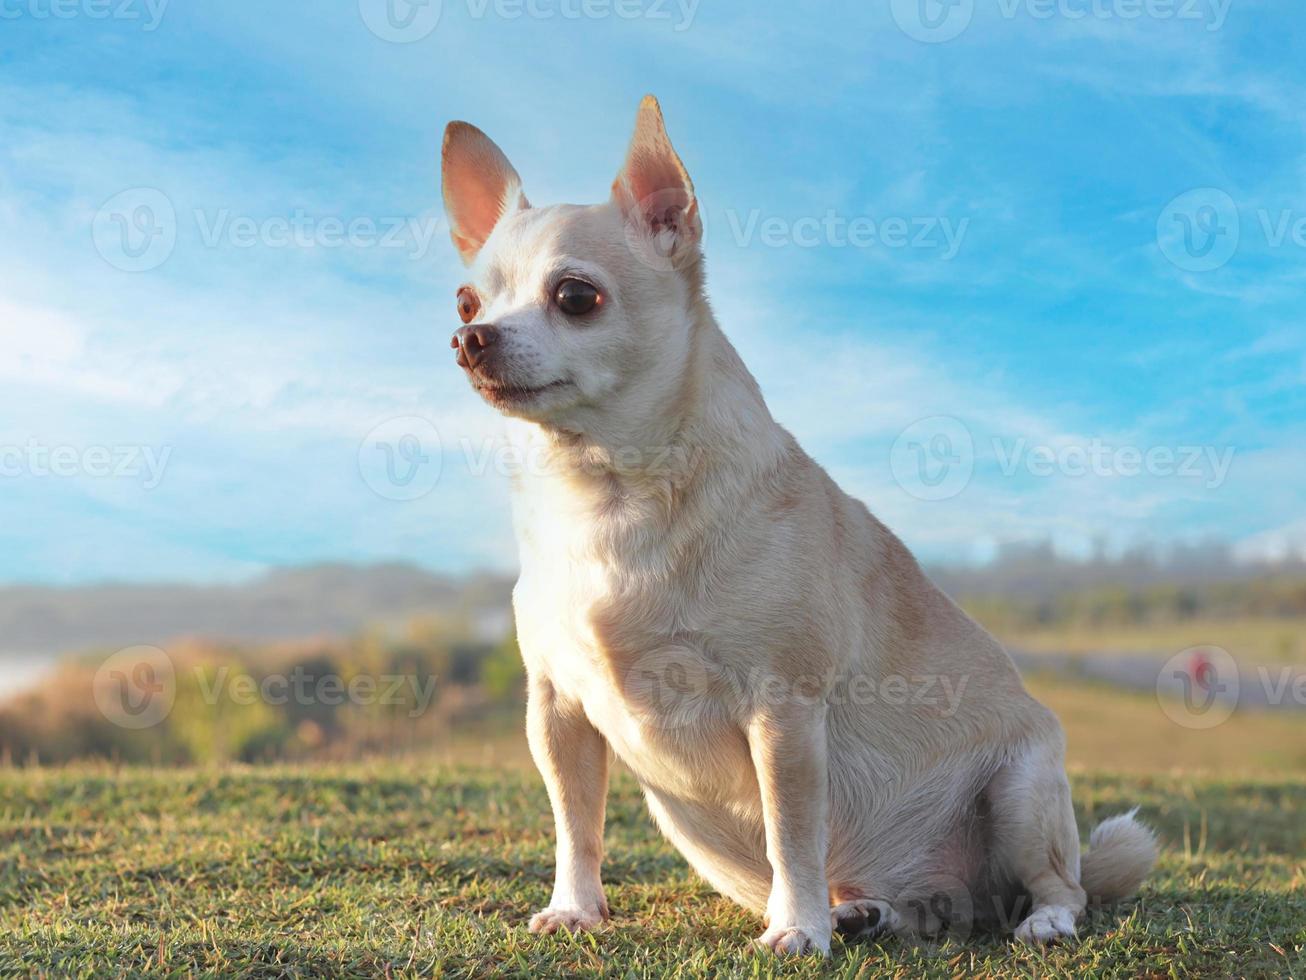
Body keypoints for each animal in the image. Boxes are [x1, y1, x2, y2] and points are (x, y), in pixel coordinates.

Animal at [438, 96, 1154, 956]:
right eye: (466, 303)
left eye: (576, 297)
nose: (468, 340)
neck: (608, 494)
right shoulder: (558, 713)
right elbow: (576, 826)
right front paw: (576, 908)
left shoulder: (782, 713)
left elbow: (791, 831)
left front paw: (797, 928)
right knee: (927, 906)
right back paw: (868, 910)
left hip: (1024, 790)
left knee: (1062, 884)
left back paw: (1038, 917)